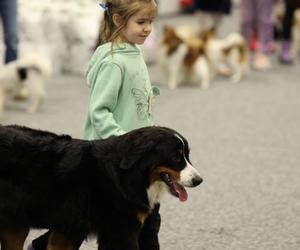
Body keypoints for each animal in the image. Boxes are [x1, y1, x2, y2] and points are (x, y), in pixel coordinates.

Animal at [0, 124, 203, 250]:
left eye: (187, 155)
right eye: (176, 157)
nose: (199, 180)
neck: (130, 175)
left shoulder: (71, 230)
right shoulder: (121, 231)